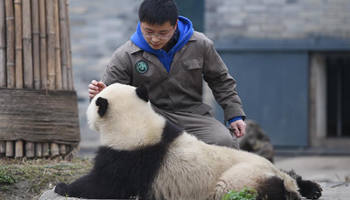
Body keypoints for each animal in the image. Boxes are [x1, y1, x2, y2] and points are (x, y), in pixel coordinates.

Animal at [55, 83, 322, 200]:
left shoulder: (131, 156)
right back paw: (311, 188)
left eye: (92, 103)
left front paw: (63, 186)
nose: (87, 109)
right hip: (262, 164)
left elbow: (105, 185)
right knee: (289, 174)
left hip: (239, 178)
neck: (136, 124)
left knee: (239, 188)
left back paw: (280, 192)